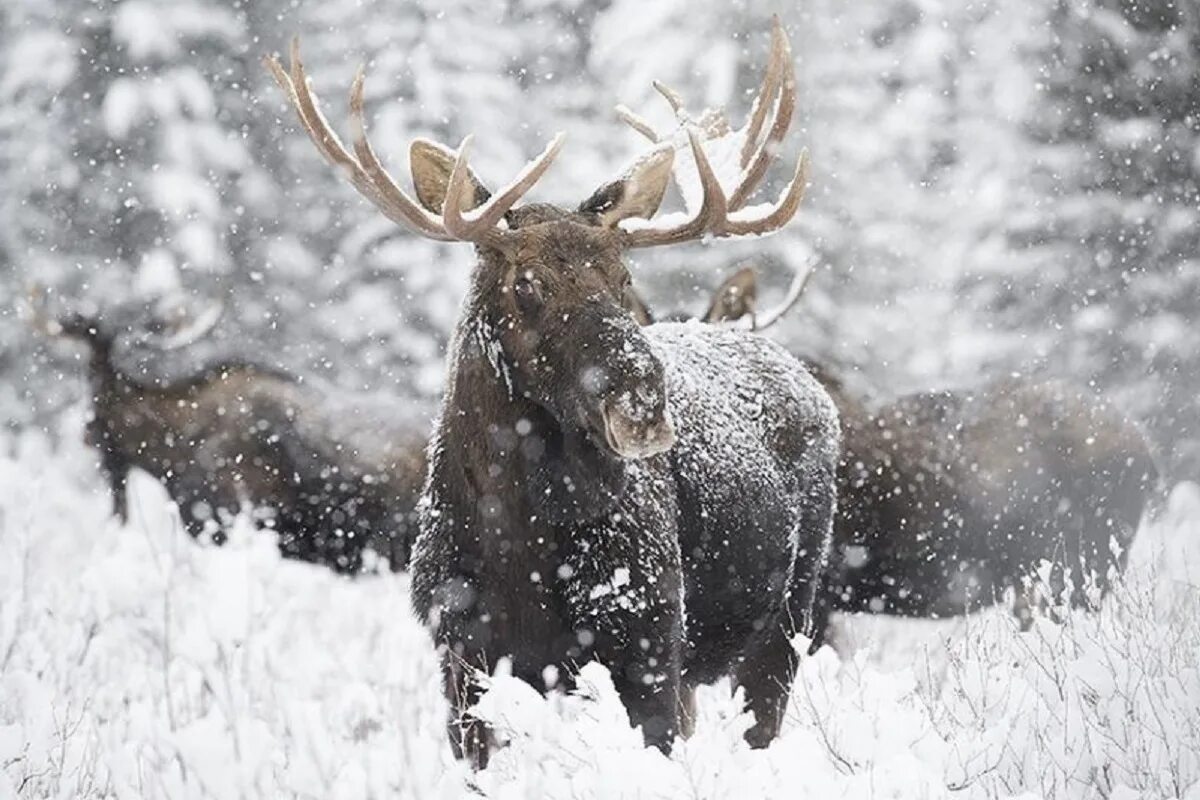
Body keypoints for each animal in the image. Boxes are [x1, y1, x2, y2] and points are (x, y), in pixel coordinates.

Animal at [267, 20, 840, 762]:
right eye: (526, 284)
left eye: (623, 277)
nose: (642, 398)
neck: (523, 548)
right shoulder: (460, 649)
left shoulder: (648, 634)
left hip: (789, 618)